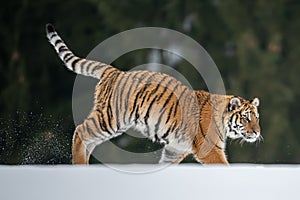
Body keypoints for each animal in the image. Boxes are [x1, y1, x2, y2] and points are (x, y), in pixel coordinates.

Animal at [45, 23, 262, 164]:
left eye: (257, 118)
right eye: (245, 118)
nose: (257, 132)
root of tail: (115, 71)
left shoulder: (175, 149)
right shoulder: (209, 150)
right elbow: (223, 166)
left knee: (88, 140)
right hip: (110, 119)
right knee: (80, 131)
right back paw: (79, 166)